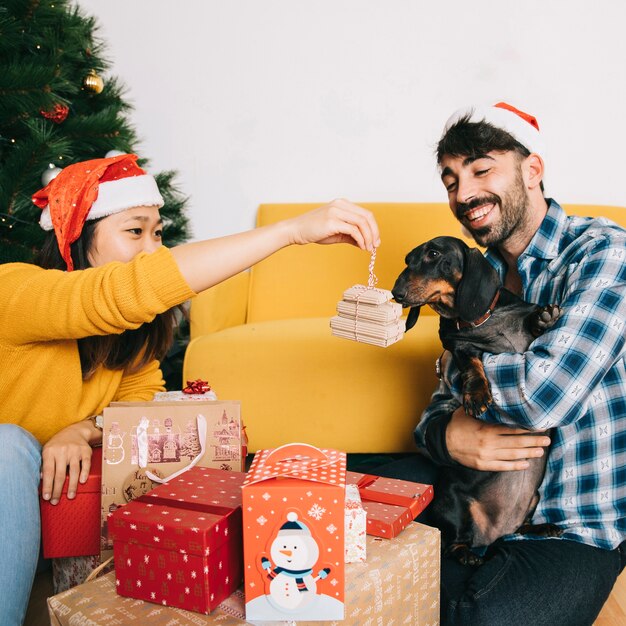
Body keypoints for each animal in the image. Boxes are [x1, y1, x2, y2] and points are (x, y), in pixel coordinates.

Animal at [390, 235, 560, 564]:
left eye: (433, 254)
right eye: (406, 260)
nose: (396, 294)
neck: (482, 321)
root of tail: (493, 534)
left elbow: (532, 326)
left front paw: (542, 317)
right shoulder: (459, 346)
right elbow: (472, 364)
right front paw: (478, 394)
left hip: (533, 498)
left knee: (521, 525)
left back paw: (543, 527)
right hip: (450, 504)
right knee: (452, 541)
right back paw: (466, 554)